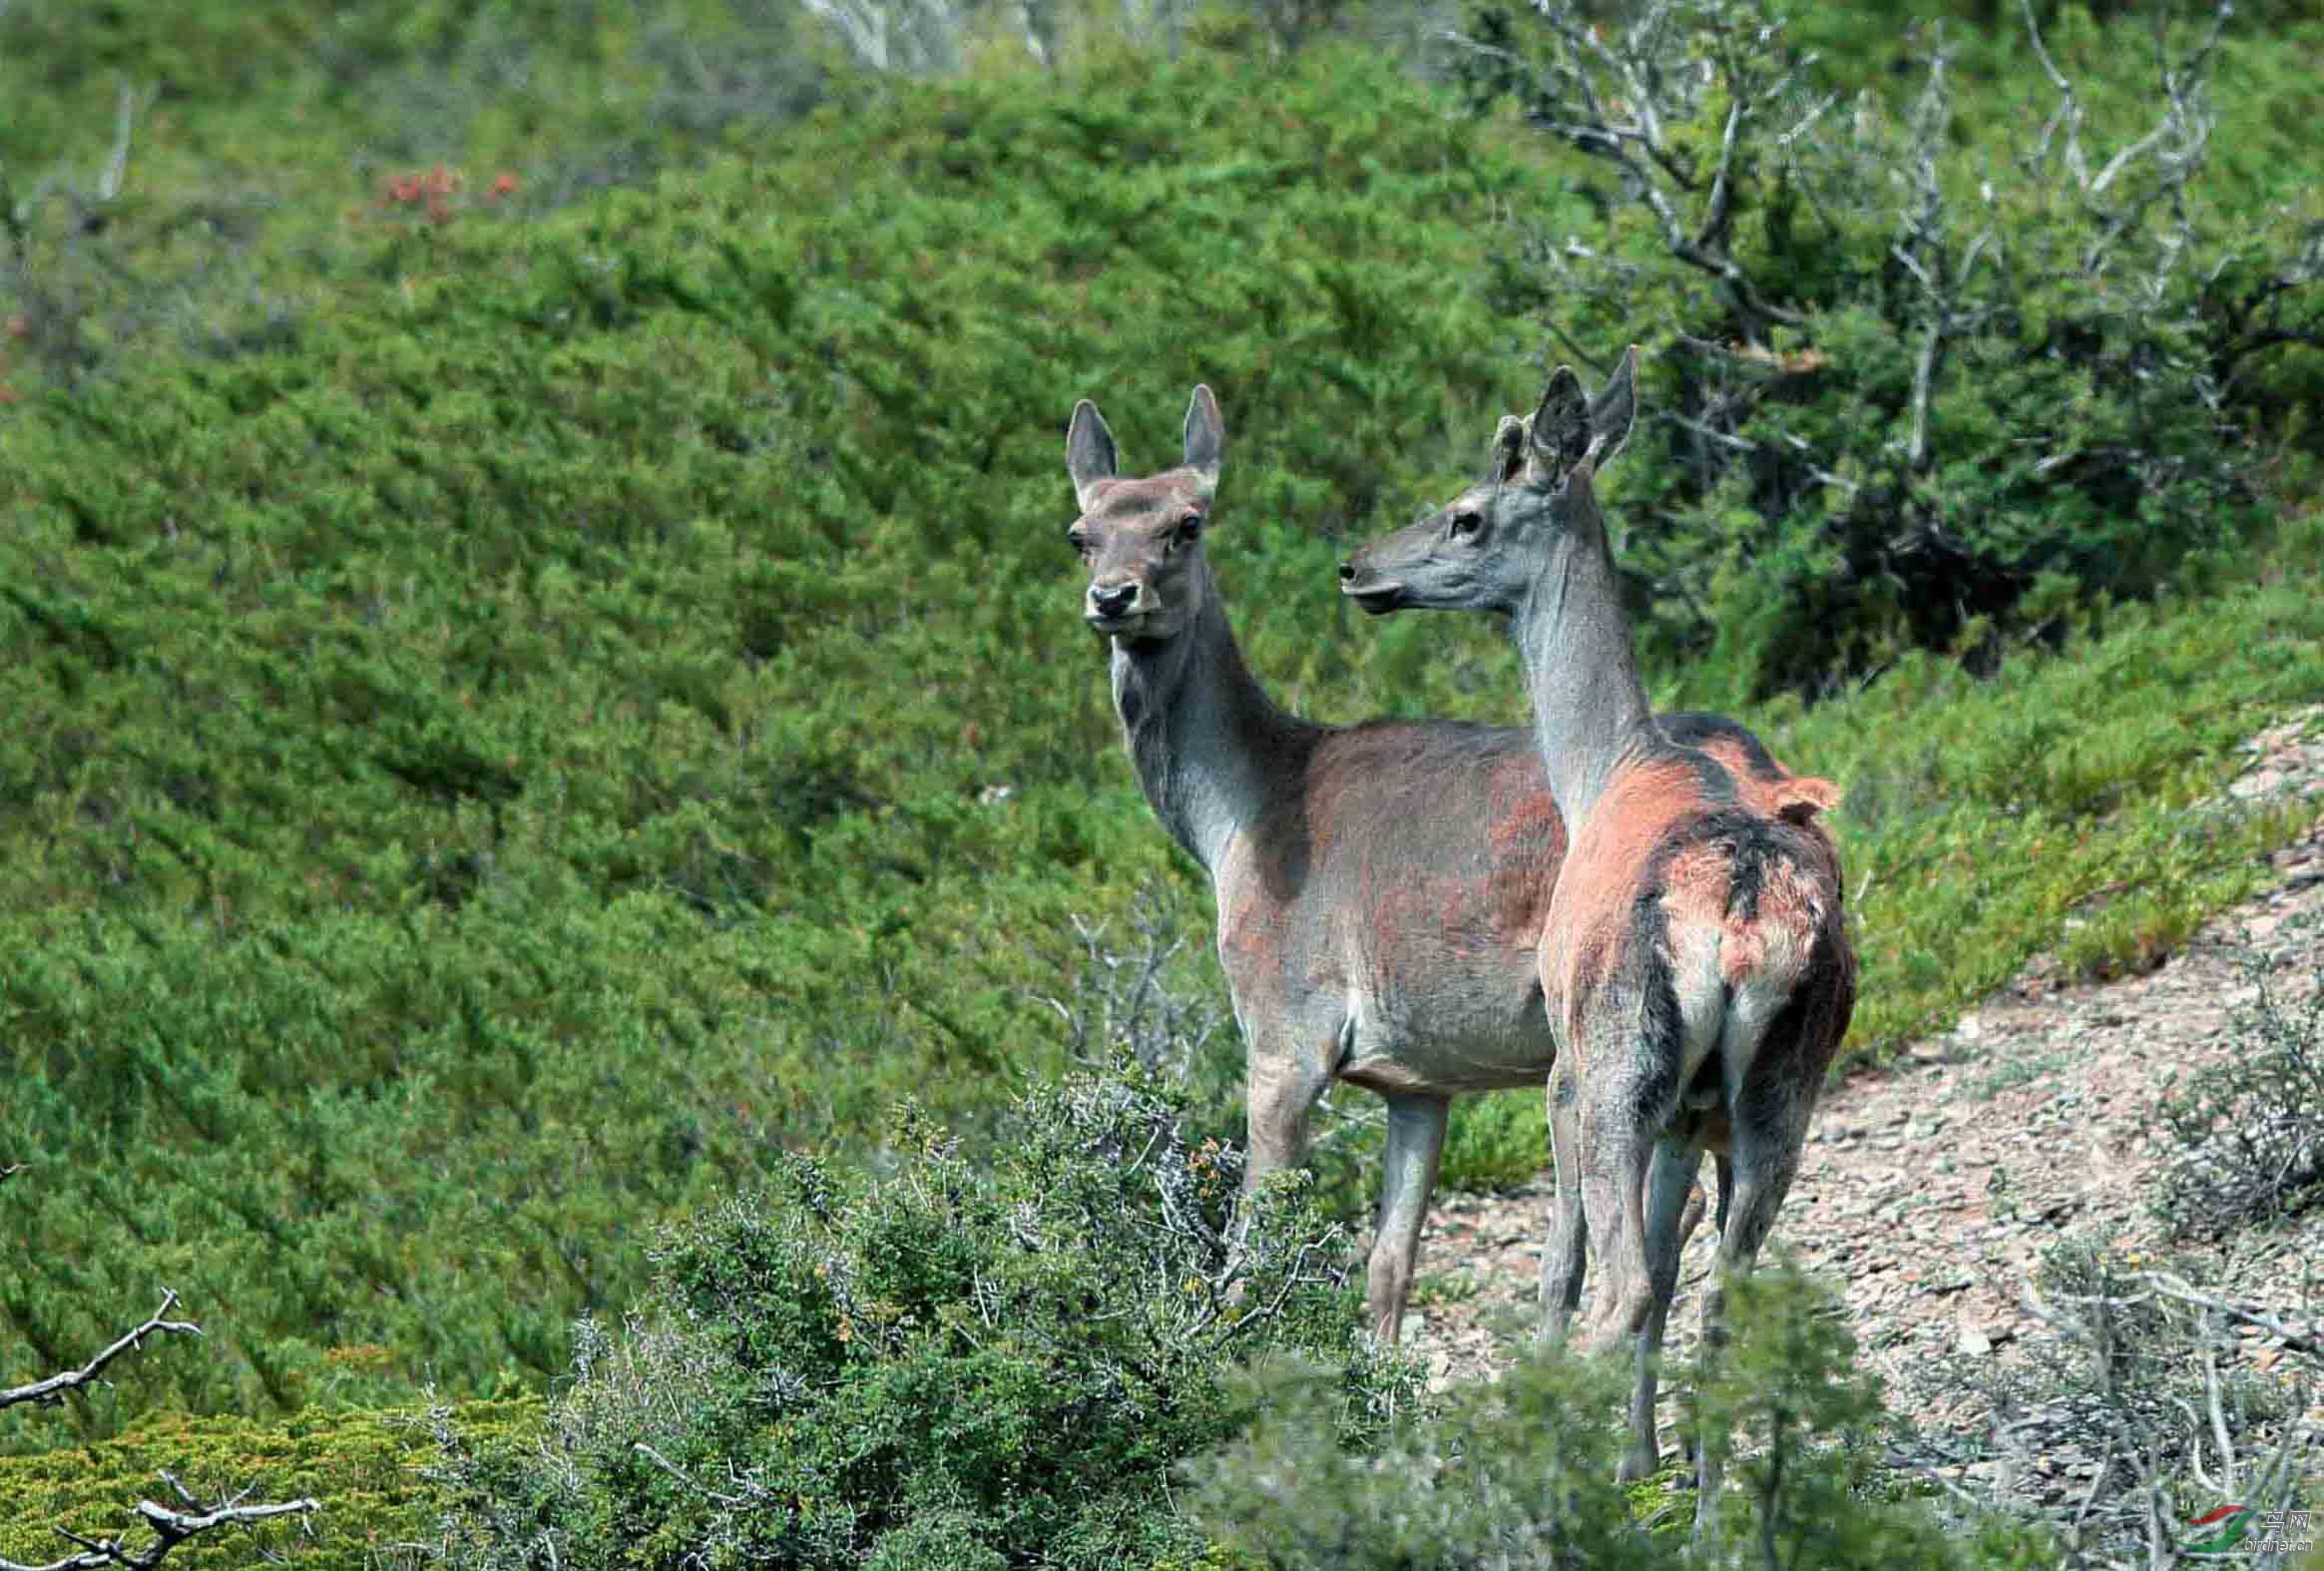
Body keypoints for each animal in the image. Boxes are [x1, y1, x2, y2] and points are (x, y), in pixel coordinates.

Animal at [1060, 380, 1831, 1347]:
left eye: (1186, 524)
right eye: (1080, 531)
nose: (1112, 597)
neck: (1235, 818)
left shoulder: (1284, 1028)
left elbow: (1247, 1257)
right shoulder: (1417, 1079)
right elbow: (1388, 1266)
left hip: (1600, 1066)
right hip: (1755, 1093)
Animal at [1338, 352, 1859, 1524]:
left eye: (1467, 513)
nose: (1356, 566)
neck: (1604, 765)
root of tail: (1743, 923)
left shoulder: (1564, 1065)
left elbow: (1562, 1269)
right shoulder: (1689, 1118)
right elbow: (1671, 1268)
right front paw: (1640, 1459)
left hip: (1622, 1064)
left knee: (1618, 1284)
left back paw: (1540, 1478)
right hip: (1778, 1095)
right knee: (1724, 1298)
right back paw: (1723, 1517)